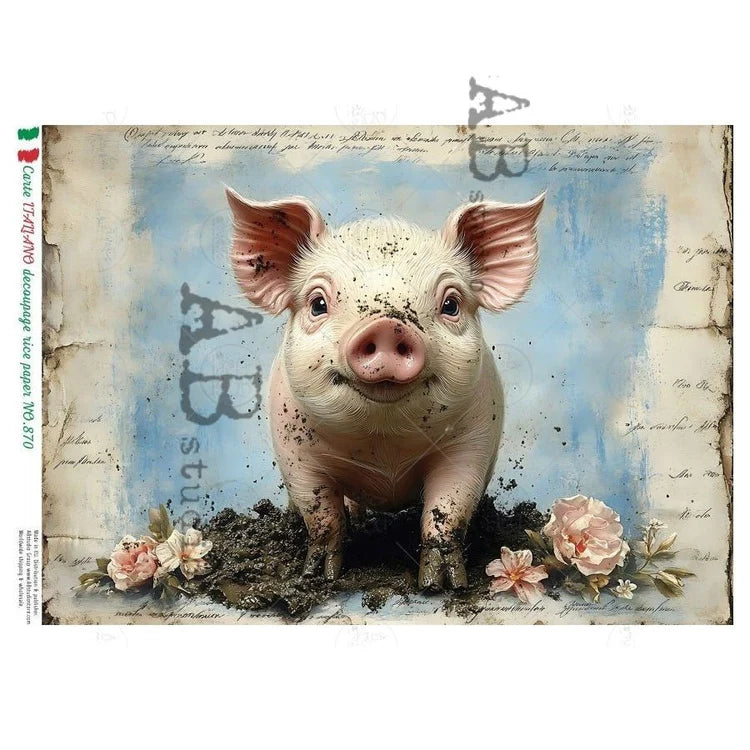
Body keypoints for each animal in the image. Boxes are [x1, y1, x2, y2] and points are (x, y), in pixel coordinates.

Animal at [226, 187, 544, 590]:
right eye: (318, 303)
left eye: (451, 304)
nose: (388, 326)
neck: (384, 449)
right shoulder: (294, 454)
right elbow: (322, 517)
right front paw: (319, 577)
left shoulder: (472, 445)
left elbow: (447, 512)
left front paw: (443, 586)